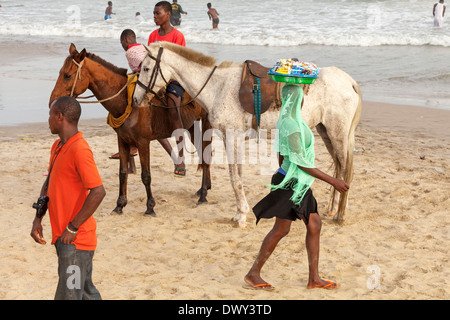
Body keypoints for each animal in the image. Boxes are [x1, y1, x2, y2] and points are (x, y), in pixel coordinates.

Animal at [50, 43, 212, 216]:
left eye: (67, 75)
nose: (53, 101)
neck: (127, 102)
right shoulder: (122, 140)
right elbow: (122, 173)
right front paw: (120, 205)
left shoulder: (143, 142)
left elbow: (146, 175)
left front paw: (150, 206)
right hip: (191, 125)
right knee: (203, 153)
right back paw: (204, 188)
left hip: (206, 122)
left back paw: (203, 195)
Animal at [134, 42, 362, 228]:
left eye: (146, 68)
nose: (136, 99)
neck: (217, 87)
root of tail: (349, 81)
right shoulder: (235, 141)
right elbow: (239, 177)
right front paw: (239, 213)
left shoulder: (232, 139)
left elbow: (235, 179)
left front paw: (242, 216)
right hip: (327, 132)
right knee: (339, 169)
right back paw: (333, 209)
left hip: (337, 134)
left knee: (345, 170)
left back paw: (340, 214)